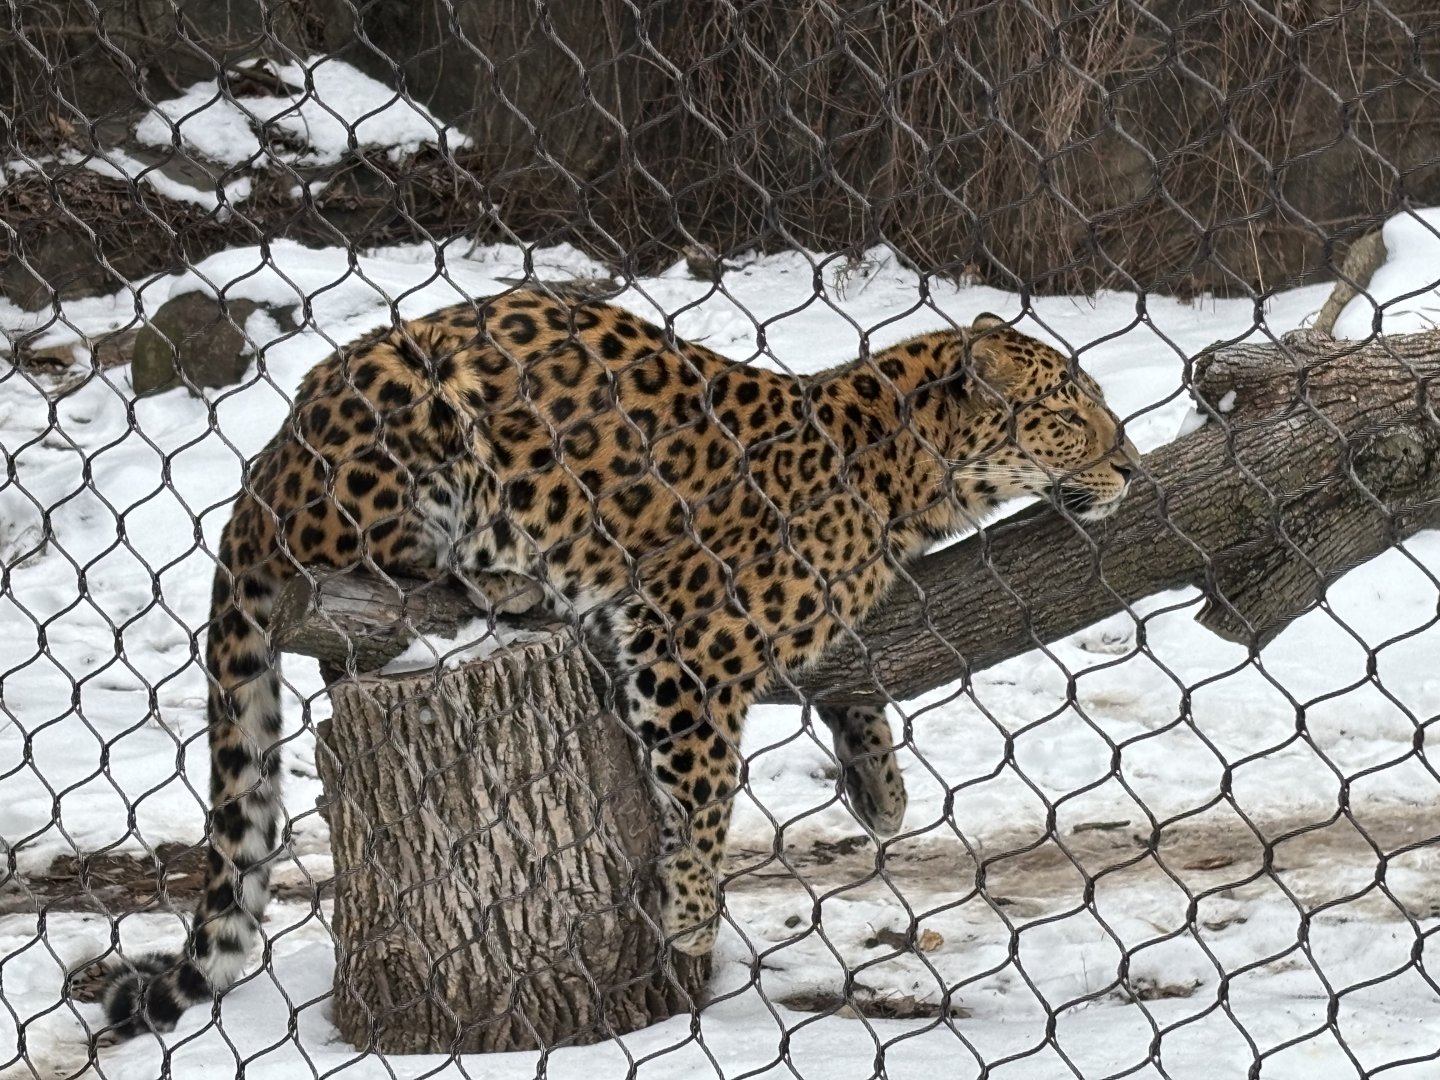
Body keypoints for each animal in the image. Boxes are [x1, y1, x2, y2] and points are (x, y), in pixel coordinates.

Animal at [90, 288, 1137, 1038]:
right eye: (1068, 414)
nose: (1130, 468)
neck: (911, 477)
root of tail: (261, 474)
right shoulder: (691, 633)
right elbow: (708, 785)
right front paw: (692, 912)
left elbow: (853, 682)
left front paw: (880, 790)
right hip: (411, 418)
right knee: (378, 566)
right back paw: (507, 577)